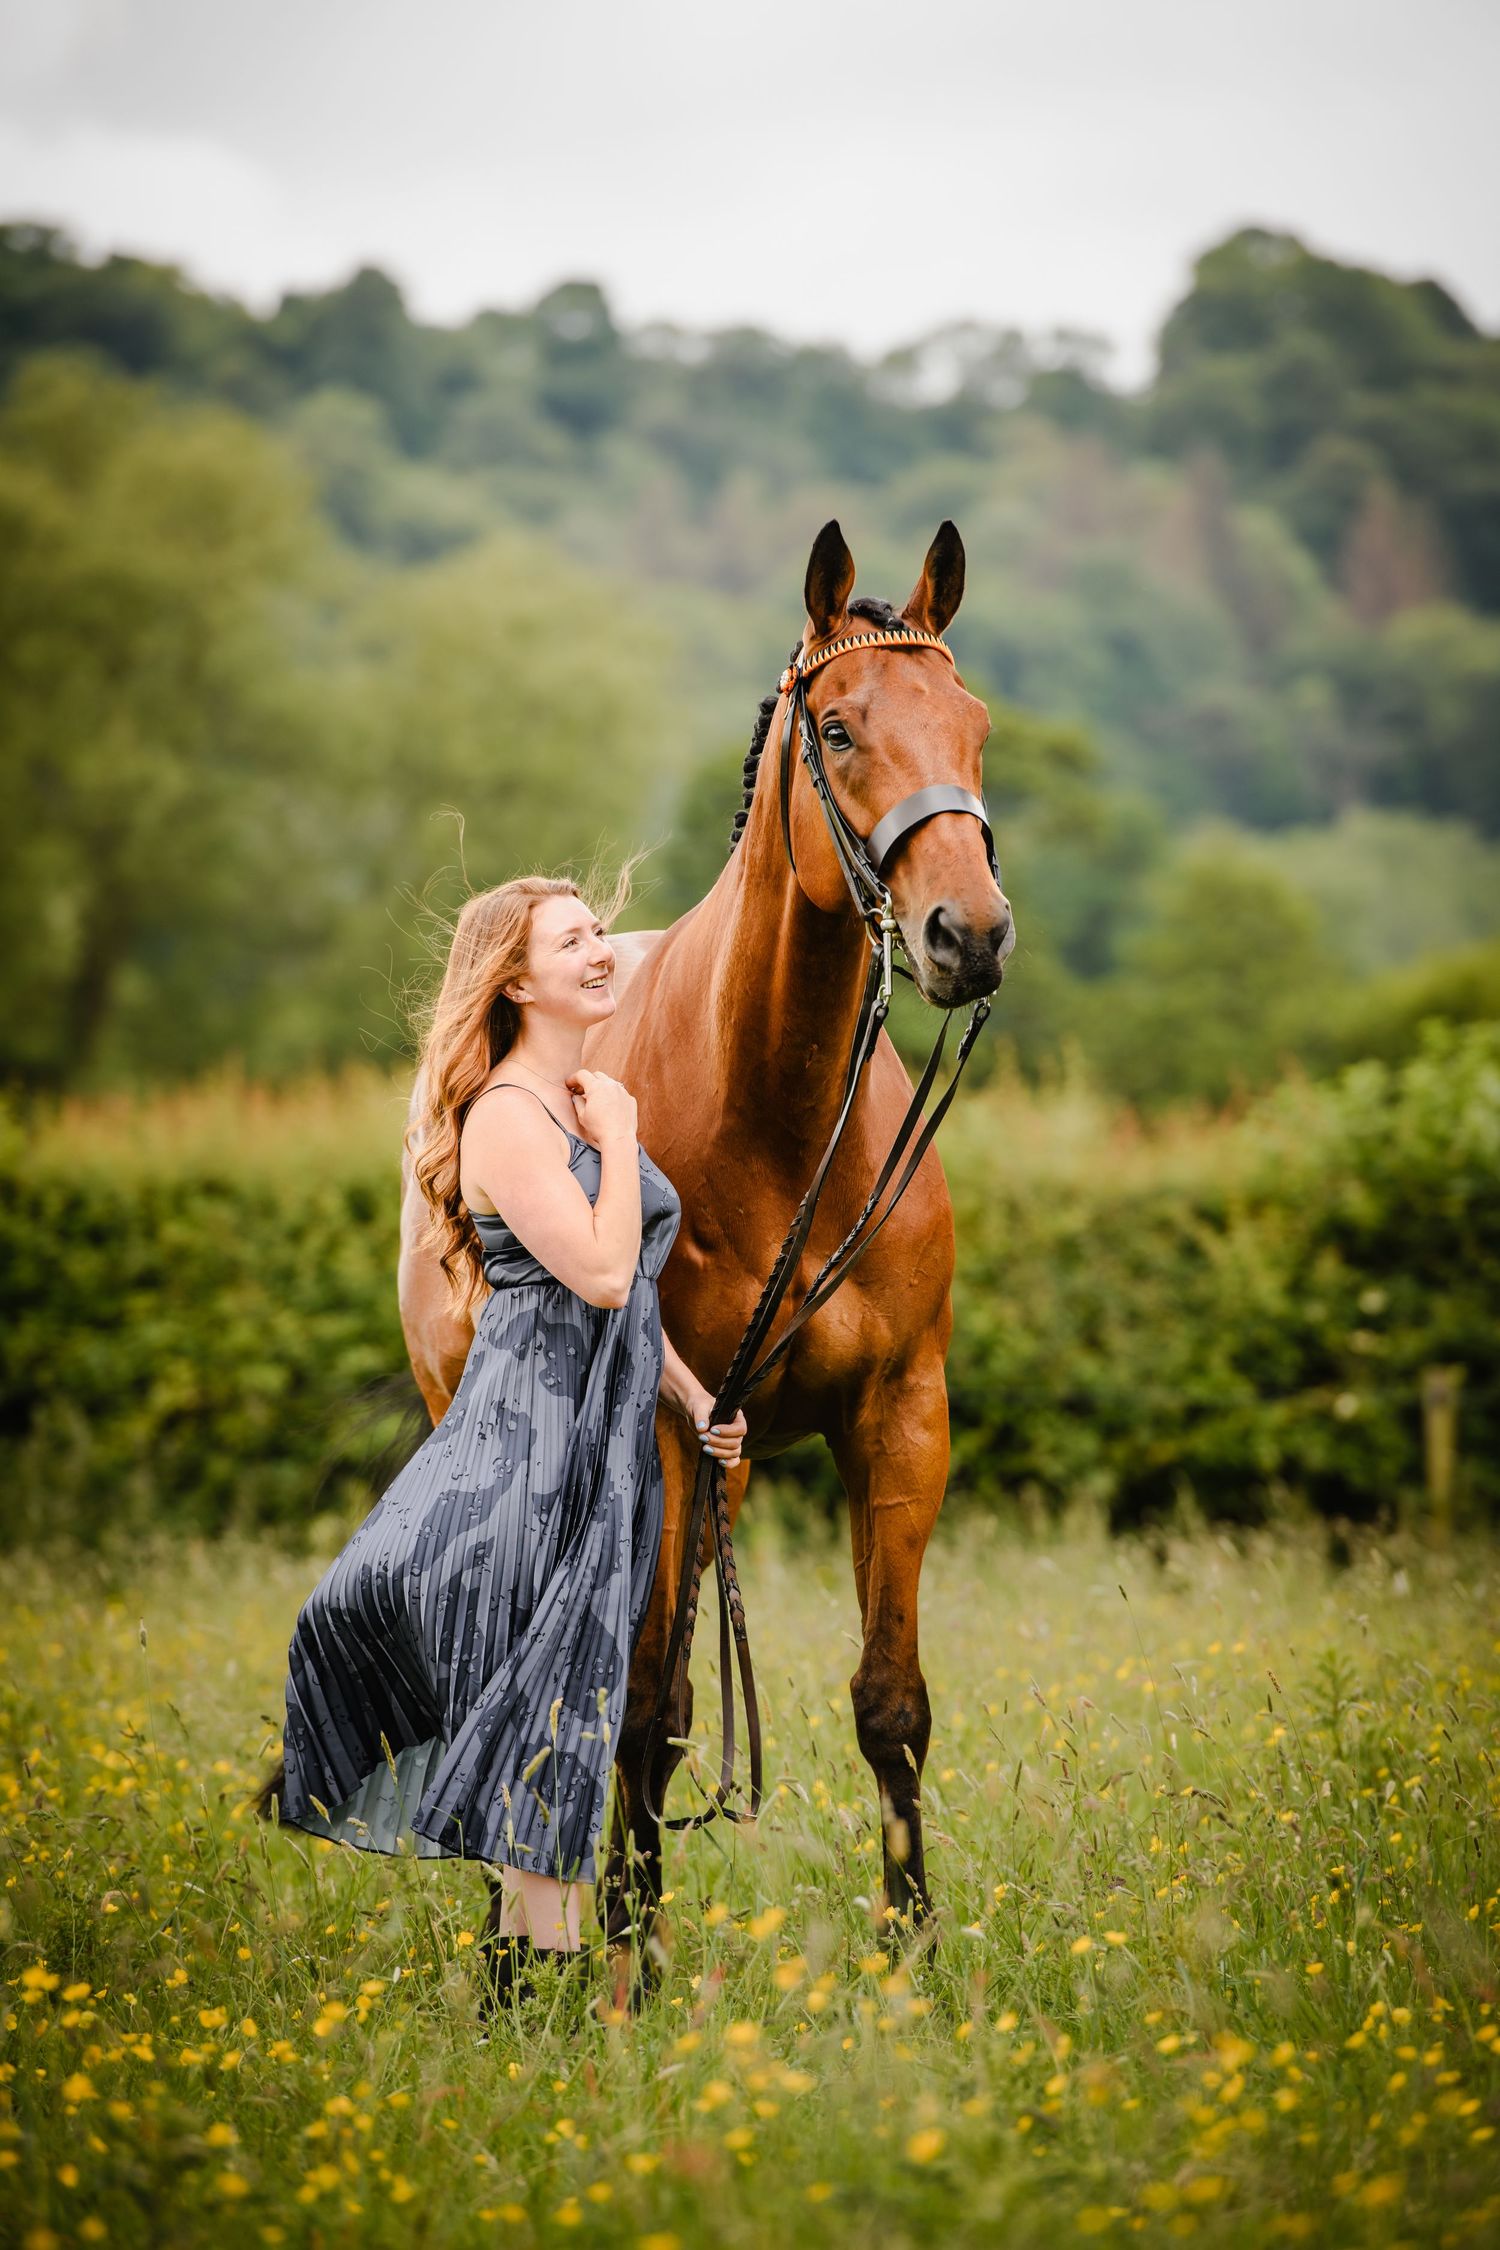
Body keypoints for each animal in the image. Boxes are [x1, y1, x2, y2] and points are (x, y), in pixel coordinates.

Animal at [399, 518, 1013, 1969]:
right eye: (839, 729)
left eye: (976, 726)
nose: (969, 935)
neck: (785, 1129)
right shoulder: (672, 1428)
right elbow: (647, 1706)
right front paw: (635, 1955)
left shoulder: (900, 1417)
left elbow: (889, 1700)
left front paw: (913, 1959)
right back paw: (519, 1941)